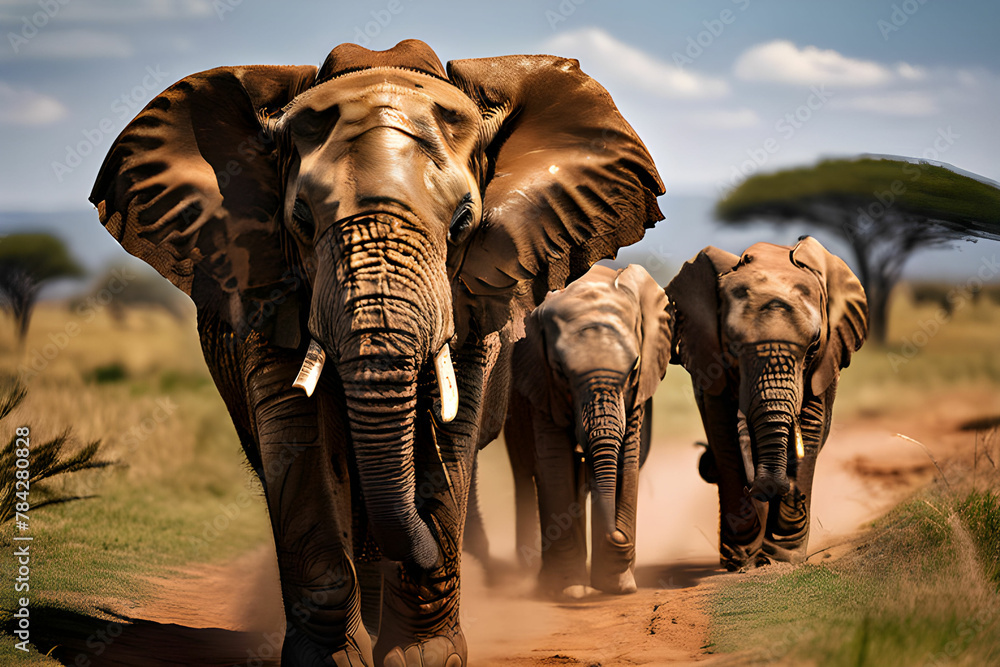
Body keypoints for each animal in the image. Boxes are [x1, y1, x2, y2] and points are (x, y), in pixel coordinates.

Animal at [504, 263, 671, 597]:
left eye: (634, 368)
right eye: (560, 371)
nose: (617, 535)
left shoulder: (638, 393)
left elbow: (627, 460)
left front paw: (618, 587)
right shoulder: (543, 387)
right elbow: (556, 465)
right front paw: (570, 591)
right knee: (527, 476)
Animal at [665, 237, 867, 571]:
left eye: (814, 344)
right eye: (733, 346)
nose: (765, 487)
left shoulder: (825, 363)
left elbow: (810, 427)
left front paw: (783, 555)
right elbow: (725, 436)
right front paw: (741, 558)